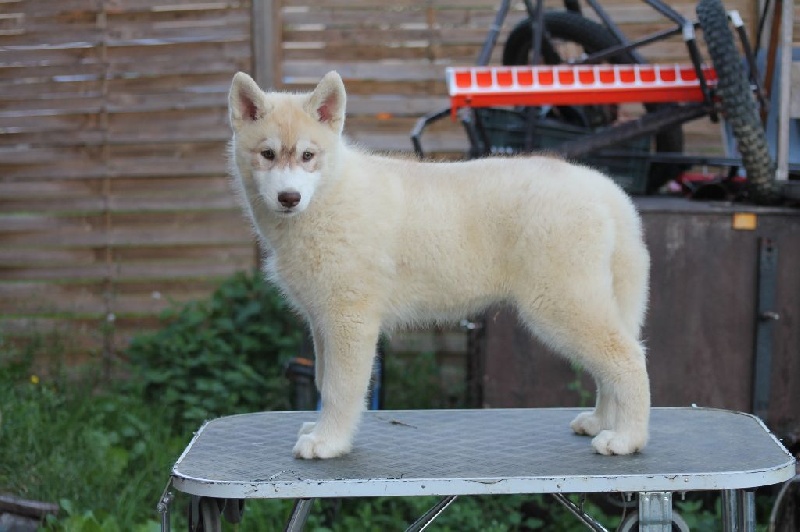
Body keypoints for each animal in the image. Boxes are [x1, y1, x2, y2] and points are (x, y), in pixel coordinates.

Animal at [227, 71, 651, 459]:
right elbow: (320, 380)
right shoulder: (322, 321)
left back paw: (627, 439)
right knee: (611, 365)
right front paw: (320, 430)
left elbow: (339, 388)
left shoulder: (350, 321)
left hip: (561, 304)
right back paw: (600, 422)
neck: (329, 197)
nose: (289, 198)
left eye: (307, 156)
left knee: (628, 359)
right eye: (267, 154)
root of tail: (603, 188)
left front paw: (329, 442)